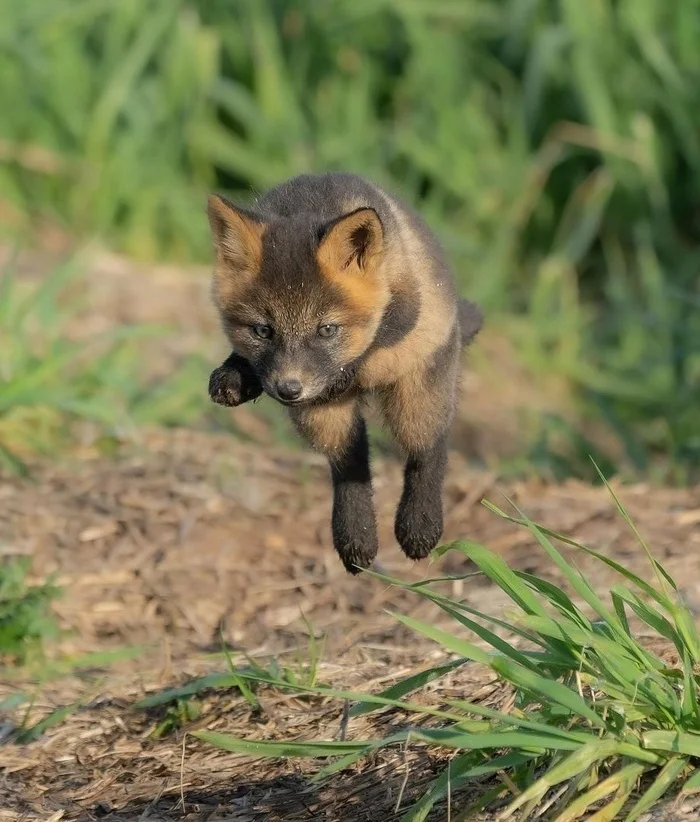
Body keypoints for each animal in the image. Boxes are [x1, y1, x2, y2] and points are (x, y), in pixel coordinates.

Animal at [205, 171, 484, 576]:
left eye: (326, 330)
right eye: (262, 331)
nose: (289, 389)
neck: (312, 203)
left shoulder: (405, 303)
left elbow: (387, 330)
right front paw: (236, 377)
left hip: (416, 400)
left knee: (428, 449)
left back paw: (419, 527)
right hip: (326, 418)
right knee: (350, 461)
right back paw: (357, 540)